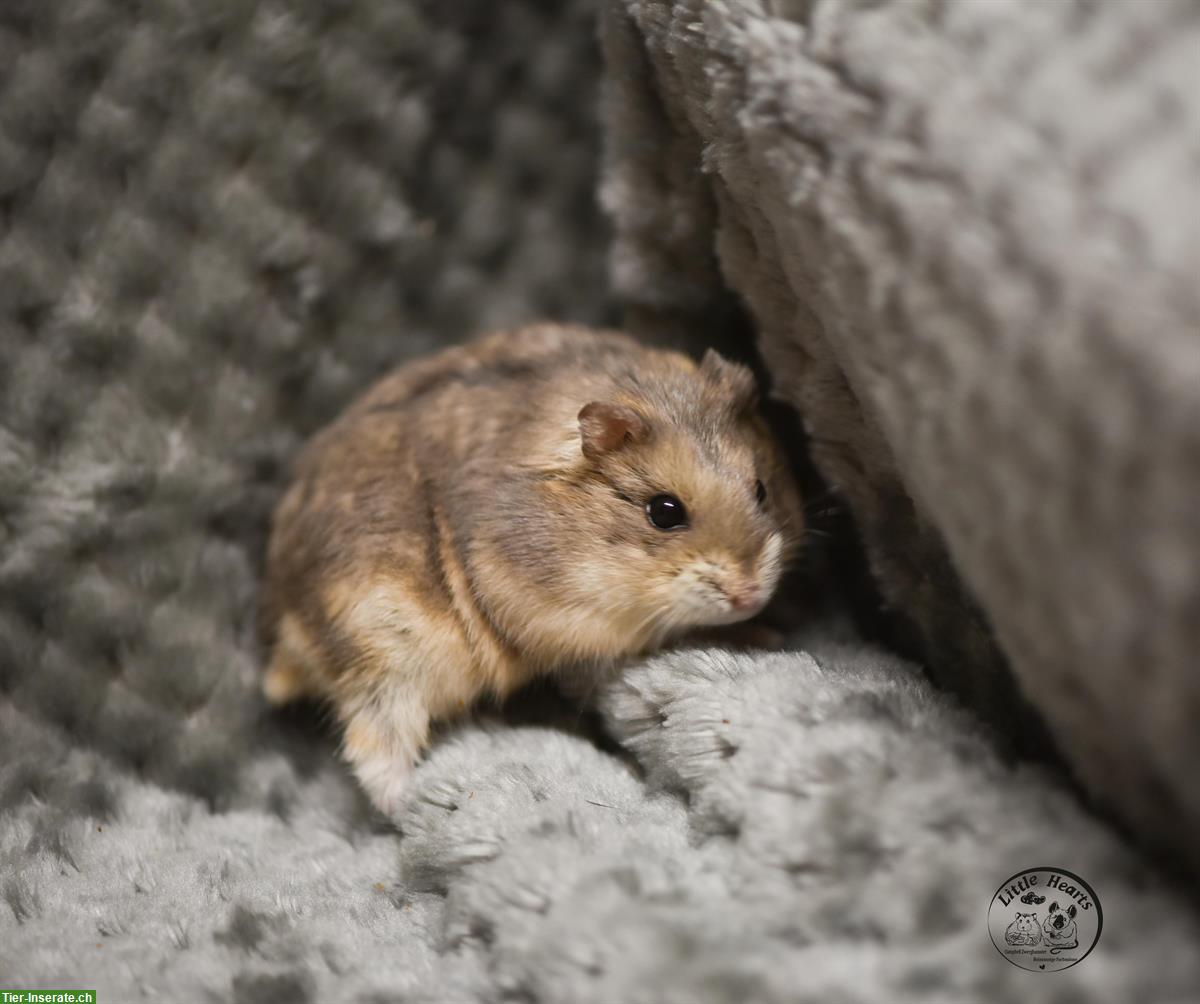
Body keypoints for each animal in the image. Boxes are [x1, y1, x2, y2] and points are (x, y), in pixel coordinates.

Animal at [262, 326, 806, 810]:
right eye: (664, 512)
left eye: (762, 489)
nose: (750, 595)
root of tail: (287, 626)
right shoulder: (564, 623)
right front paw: (763, 635)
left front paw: (768, 633)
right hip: (385, 653)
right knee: (374, 747)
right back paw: (405, 806)